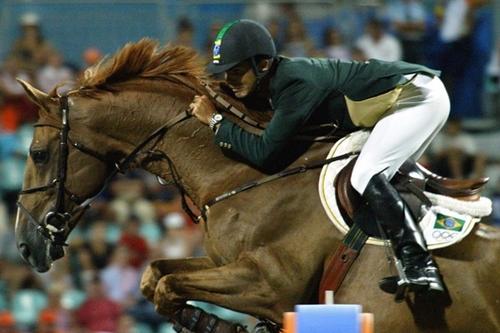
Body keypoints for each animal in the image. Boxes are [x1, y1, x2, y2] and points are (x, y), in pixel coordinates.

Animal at [13, 40, 498, 330]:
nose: (24, 247)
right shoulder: (226, 264)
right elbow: (155, 276)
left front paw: (210, 322)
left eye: (38, 154)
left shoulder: (270, 283)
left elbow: (167, 284)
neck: (238, 174)